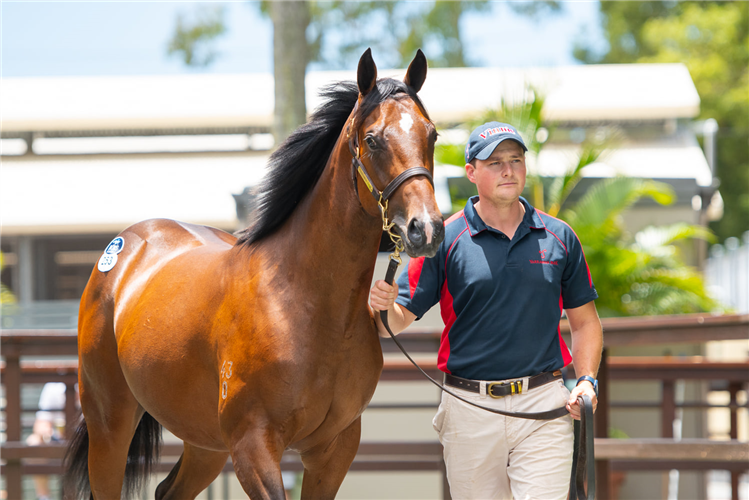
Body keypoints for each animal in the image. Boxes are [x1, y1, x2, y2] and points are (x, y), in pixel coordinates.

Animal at [64, 47, 444, 500]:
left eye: (432, 135)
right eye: (372, 139)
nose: (426, 229)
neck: (305, 305)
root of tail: (124, 247)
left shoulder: (334, 449)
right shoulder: (253, 445)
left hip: (205, 440)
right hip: (110, 423)